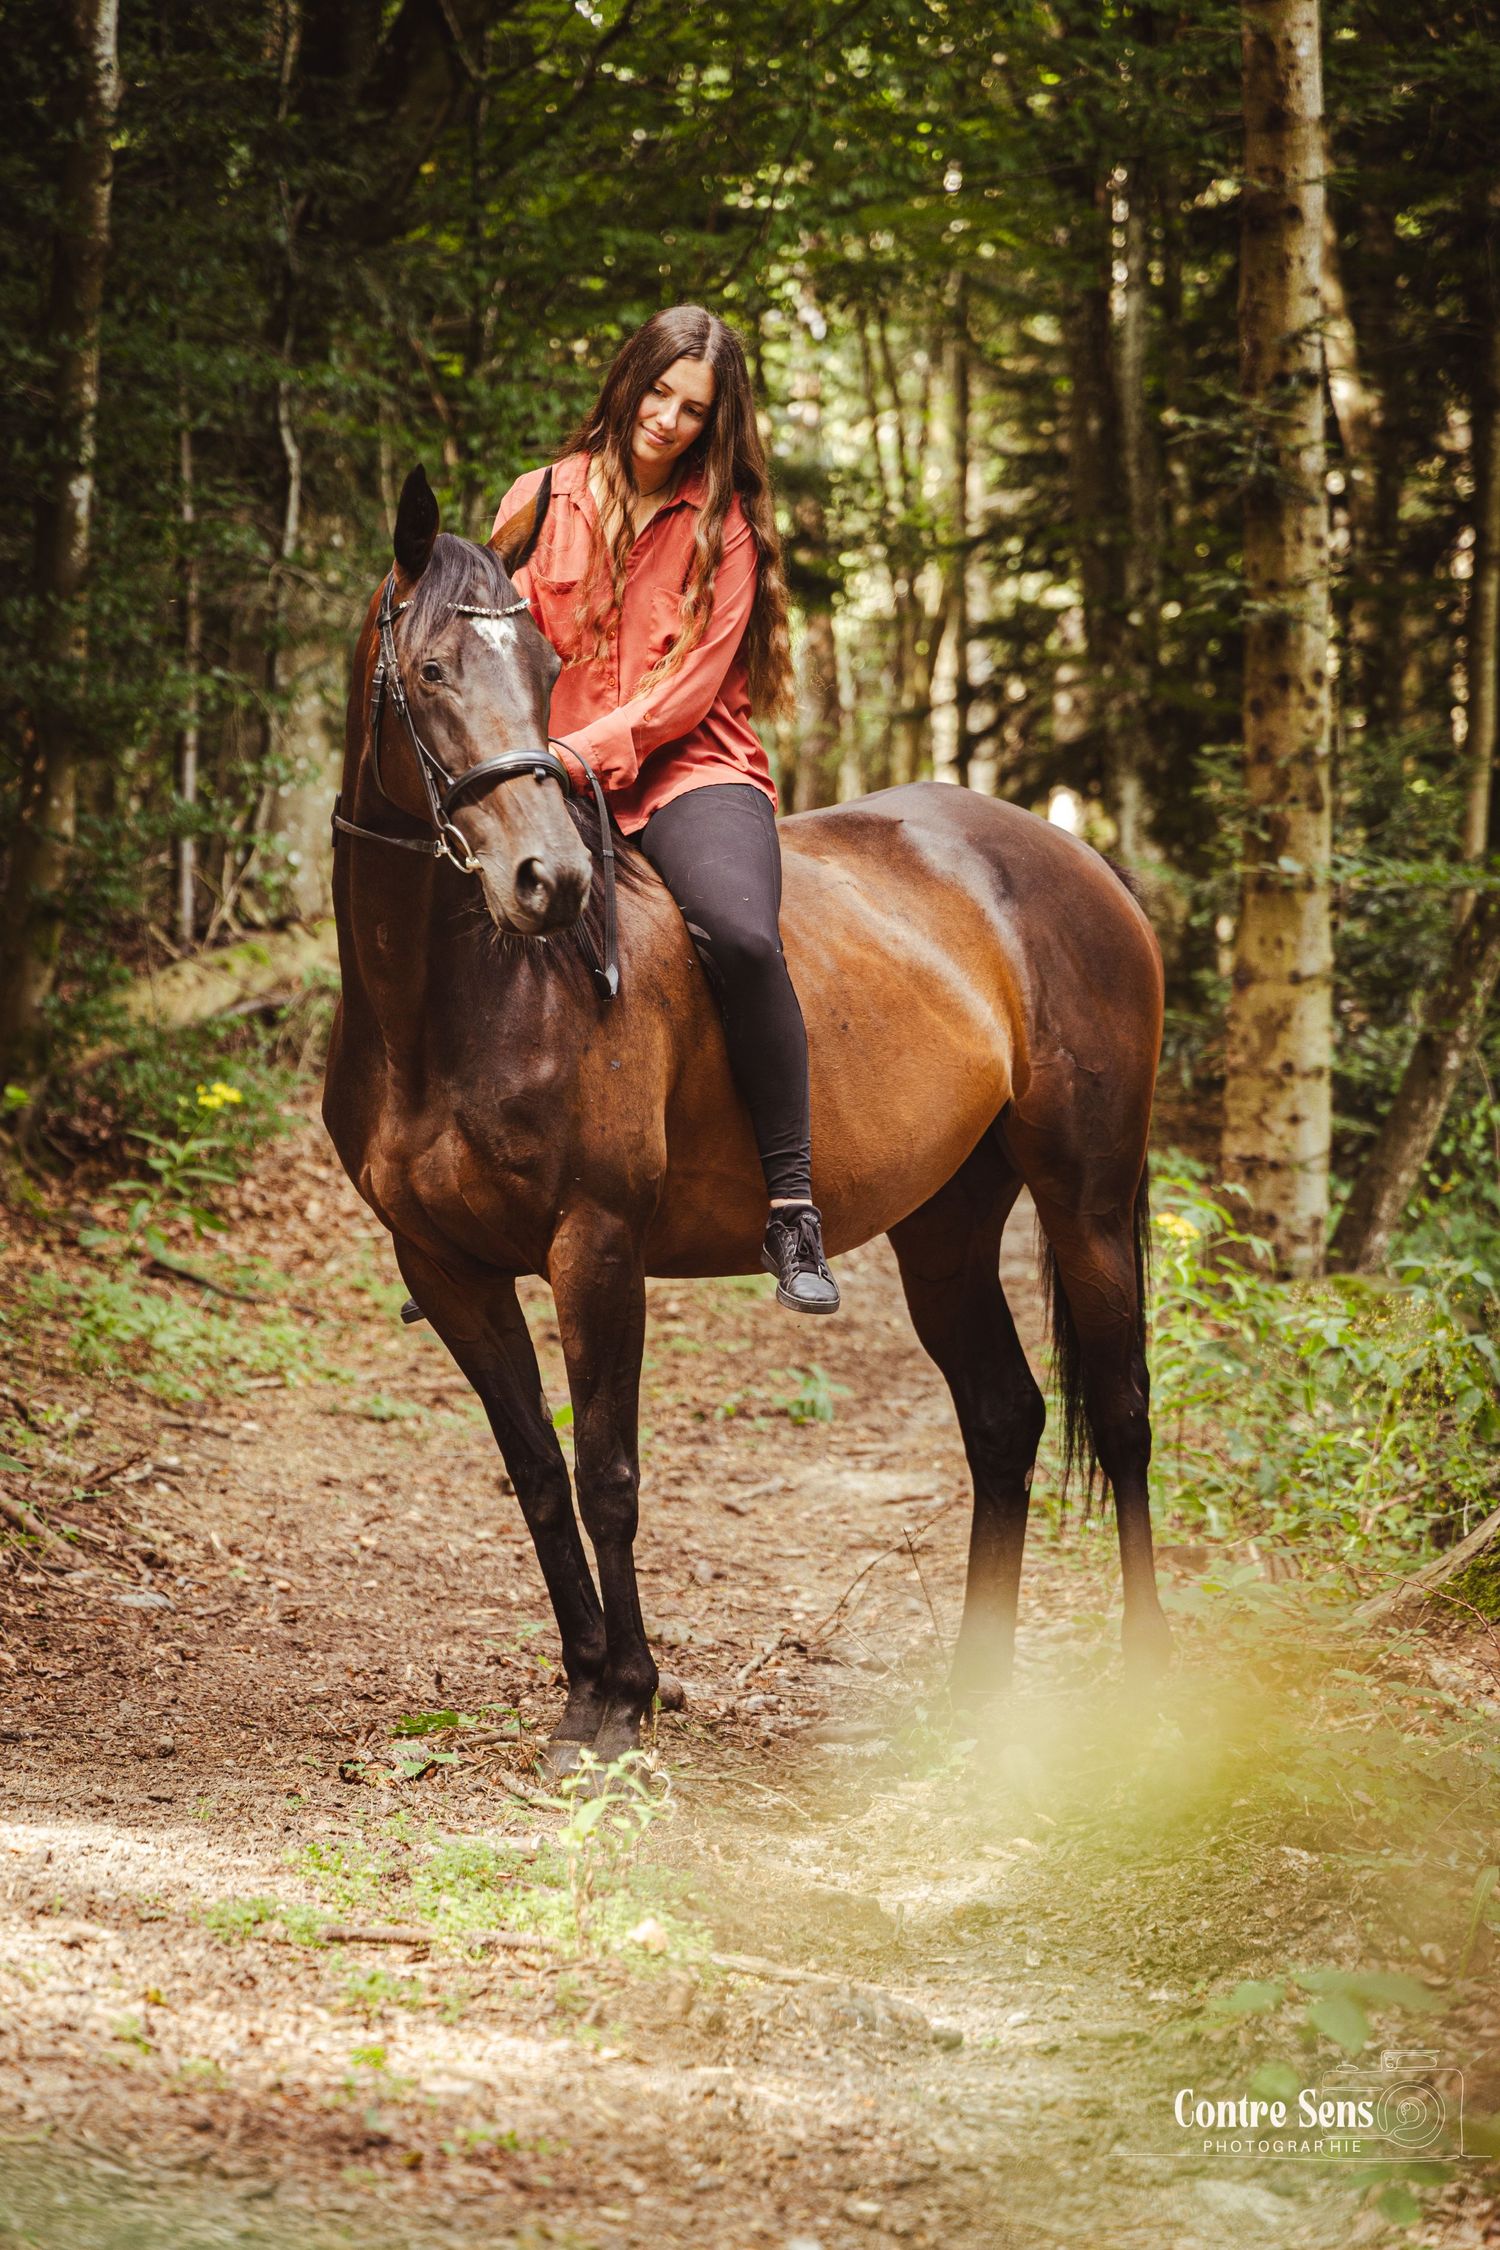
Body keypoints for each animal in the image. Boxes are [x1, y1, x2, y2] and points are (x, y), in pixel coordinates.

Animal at [322, 464, 1171, 1774]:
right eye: (429, 671)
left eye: (547, 673)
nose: (548, 883)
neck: (459, 1002)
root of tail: (1077, 858)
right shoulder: (446, 1267)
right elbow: (537, 1476)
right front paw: (582, 1688)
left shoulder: (597, 1247)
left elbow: (609, 1473)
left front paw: (627, 1700)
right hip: (946, 1225)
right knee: (1005, 1418)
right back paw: (974, 1694)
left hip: (1085, 1200)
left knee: (1122, 1419)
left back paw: (1145, 1688)